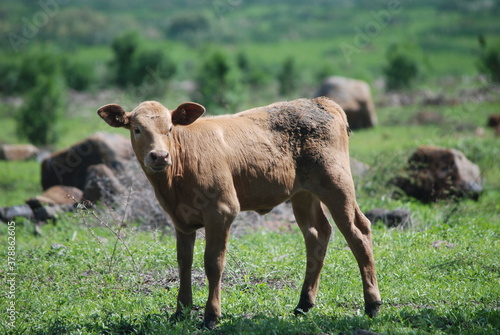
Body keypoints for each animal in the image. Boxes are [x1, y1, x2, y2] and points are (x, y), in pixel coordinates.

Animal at [97, 96, 380, 328]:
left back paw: (372, 304)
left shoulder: (221, 211)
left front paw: (211, 316)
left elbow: (213, 263)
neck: (175, 178)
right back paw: (303, 305)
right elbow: (184, 262)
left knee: (358, 232)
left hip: (337, 184)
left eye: (169, 129)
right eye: (137, 129)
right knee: (317, 234)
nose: (159, 156)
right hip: (303, 194)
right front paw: (180, 312)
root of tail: (321, 101)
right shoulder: (180, 220)